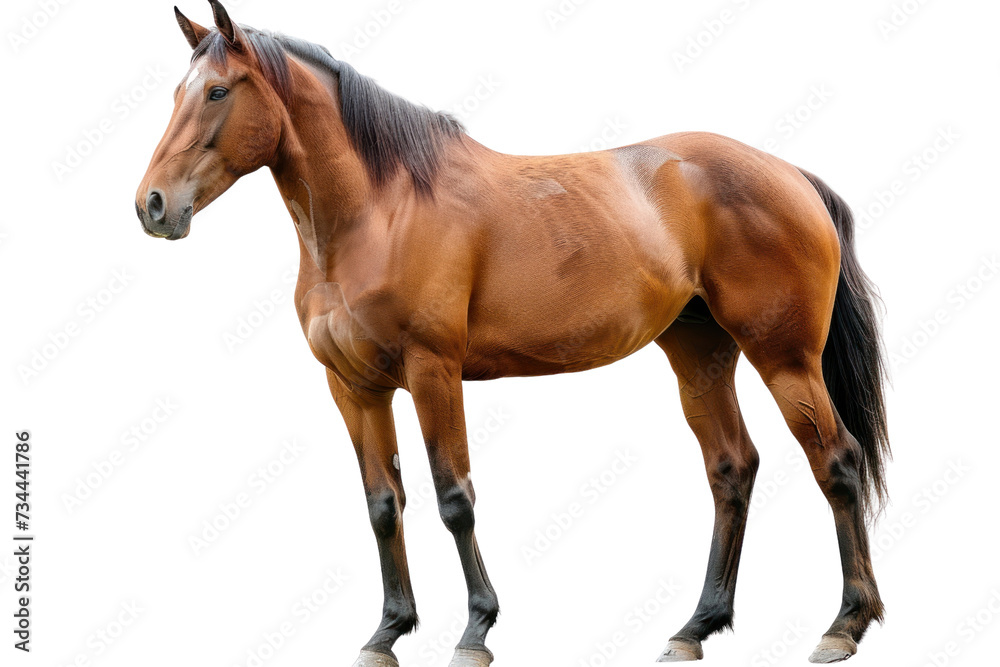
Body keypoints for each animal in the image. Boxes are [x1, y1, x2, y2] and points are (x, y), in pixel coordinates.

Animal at [135, 2, 890, 664]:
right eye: (176, 92)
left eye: (217, 91)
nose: (152, 205)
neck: (379, 210)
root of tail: (792, 175)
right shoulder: (354, 387)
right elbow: (383, 504)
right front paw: (388, 631)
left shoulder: (432, 372)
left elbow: (453, 497)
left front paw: (476, 629)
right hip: (699, 356)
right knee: (732, 469)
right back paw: (695, 628)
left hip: (785, 358)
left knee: (837, 461)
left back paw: (844, 626)